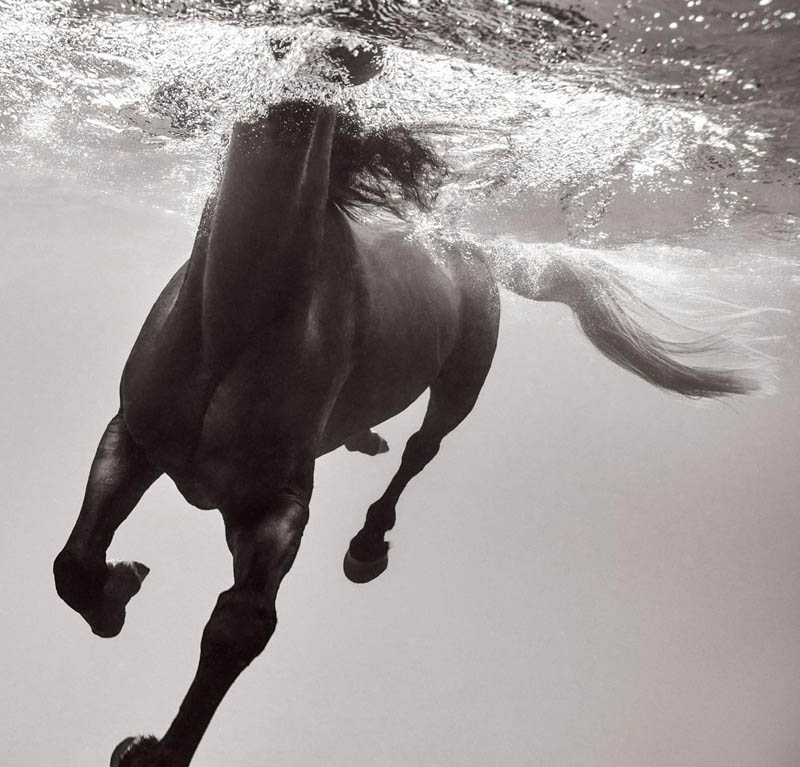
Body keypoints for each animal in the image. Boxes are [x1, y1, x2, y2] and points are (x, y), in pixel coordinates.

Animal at [52, 43, 758, 767]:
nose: (349, 47)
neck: (236, 319)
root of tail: (470, 248)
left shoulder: (278, 503)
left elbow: (238, 625)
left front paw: (153, 749)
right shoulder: (131, 436)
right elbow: (73, 562)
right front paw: (119, 588)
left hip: (464, 378)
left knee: (423, 449)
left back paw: (368, 546)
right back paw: (363, 440)